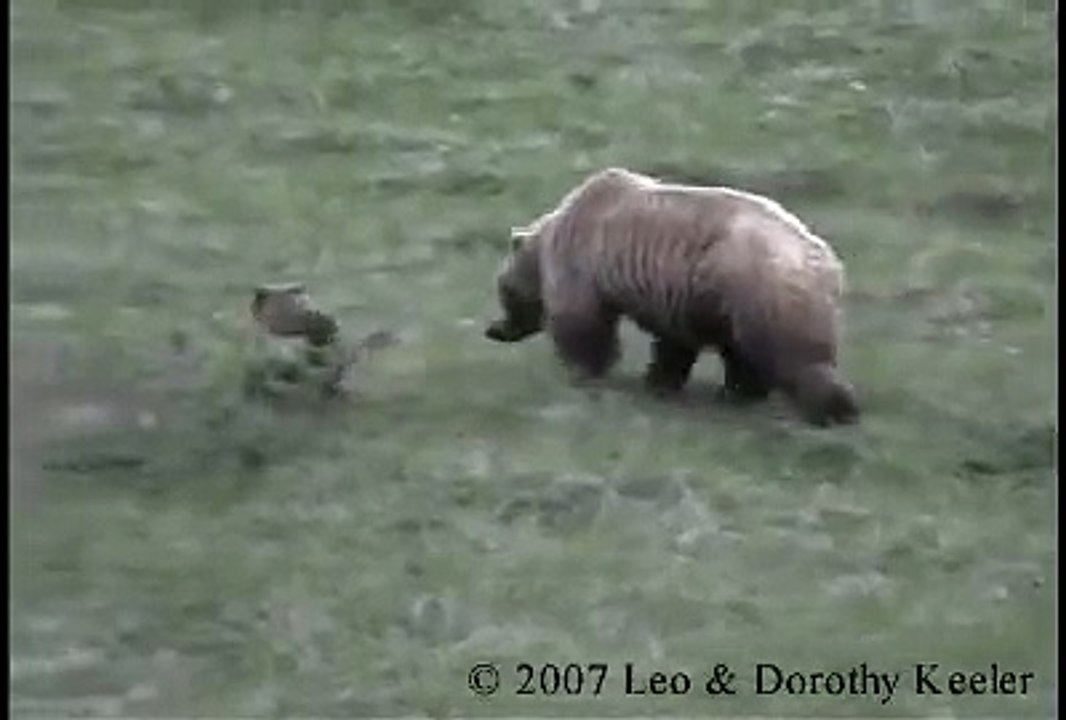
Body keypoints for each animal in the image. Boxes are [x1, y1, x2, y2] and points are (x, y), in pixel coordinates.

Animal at [485, 167, 859, 426]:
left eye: (503, 290)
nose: (495, 330)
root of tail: (826, 263)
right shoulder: (676, 296)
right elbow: (674, 342)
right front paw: (659, 381)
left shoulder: (582, 263)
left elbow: (581, 321)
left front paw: (585, 369)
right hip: (737, 300)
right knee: (745, 352)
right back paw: (739, 393)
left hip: (759, 290)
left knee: (792, 355)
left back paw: (834, 408)